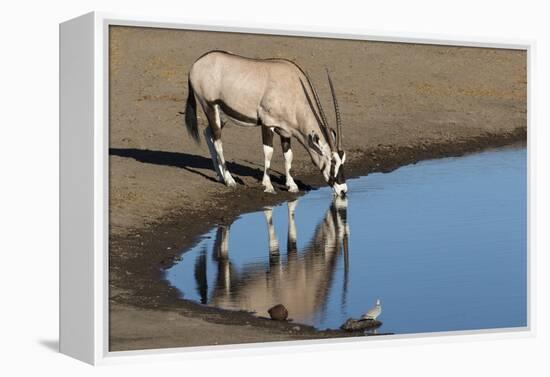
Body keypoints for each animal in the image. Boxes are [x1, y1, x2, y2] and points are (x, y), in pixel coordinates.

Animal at [185, 49, 350, 195]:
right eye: (332, 161)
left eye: (343, 161)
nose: (343, 190)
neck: (292, 88)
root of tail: (196, 64)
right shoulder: (267, 123)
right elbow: (268, 152)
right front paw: (268, 185)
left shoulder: (285, 131)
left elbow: (288, 156)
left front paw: (291, 185)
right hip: (210, 106)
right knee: (218, 142)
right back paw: (229, 180)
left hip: (222, 115)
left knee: (208, 133)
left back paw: (219, 175)